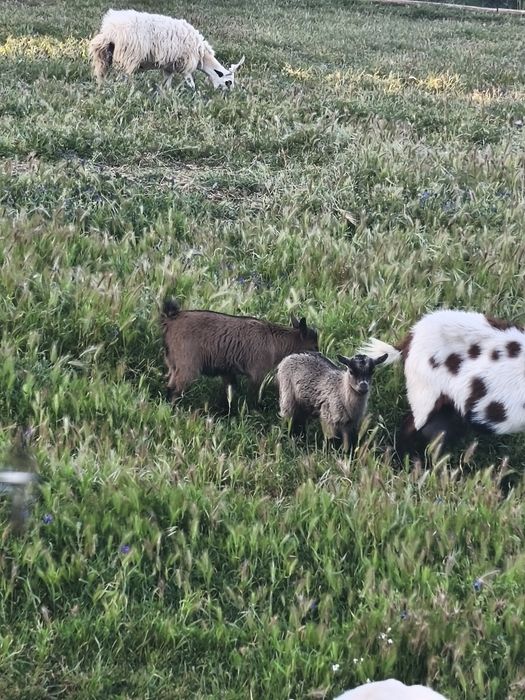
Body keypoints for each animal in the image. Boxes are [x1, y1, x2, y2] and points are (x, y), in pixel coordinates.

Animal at [161, 298, 318, 404]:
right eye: (314, 346)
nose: (320, 357)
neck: (274, 340)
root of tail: (172, 318)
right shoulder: (257, 373)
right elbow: (253, 396)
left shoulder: (228, 372)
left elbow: (229, 392)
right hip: (187, 366)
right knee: (175, 389)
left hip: (173, 364)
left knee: (169, 386)